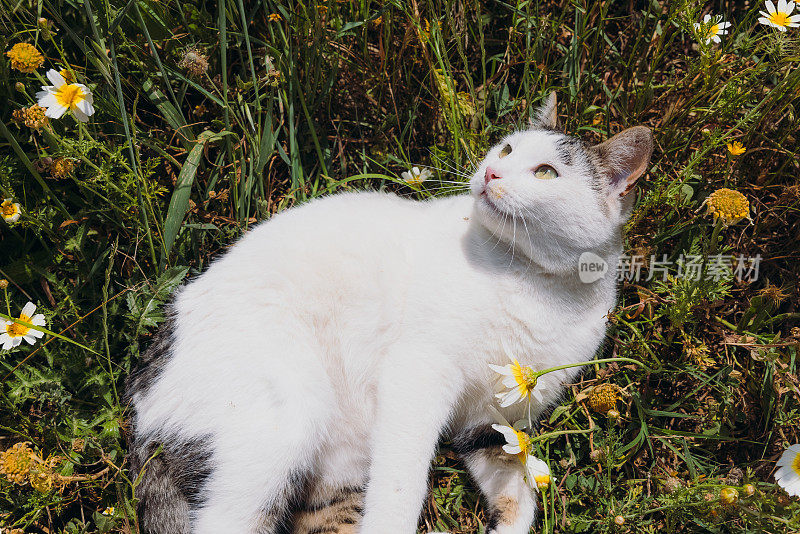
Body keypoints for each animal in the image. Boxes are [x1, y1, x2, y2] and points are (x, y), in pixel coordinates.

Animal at [125, 95, 648, 534]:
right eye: (506, 148)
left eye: (545, 173)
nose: (492, 174)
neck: (537, 285)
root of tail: (141, 402)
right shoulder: (418, 370)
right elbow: (401, 482)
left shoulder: (490, 421)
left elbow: (518, 491)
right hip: (282, 419)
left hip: (336, 471)